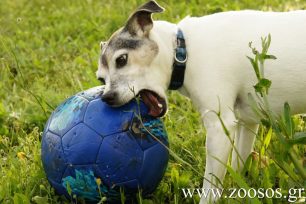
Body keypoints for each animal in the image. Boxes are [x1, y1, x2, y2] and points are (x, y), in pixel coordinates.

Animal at [95, 1, 306, 202]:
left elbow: (210, 187)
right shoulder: (247, 122)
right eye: (101, 79)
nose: (107, 97)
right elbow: (237, 165)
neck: (184, 51)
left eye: (121, 59)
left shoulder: (219, 128)